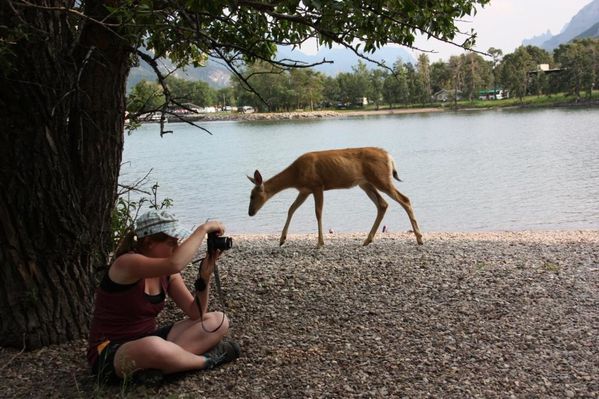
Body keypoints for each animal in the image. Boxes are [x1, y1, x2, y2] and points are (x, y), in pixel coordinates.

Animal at [246, 147, 424, 247]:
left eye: (252, 195)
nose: (250, 213)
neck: (296, 175)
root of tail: (389, 157)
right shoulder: (304, 190)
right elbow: (291, 209)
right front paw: (282, 240)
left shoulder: (317, 185)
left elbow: (318, 213)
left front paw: (320, 243)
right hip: (365, 183)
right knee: (383, 204)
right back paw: (367, 240)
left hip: (380, 178)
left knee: (404, 199)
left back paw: (419, 238)